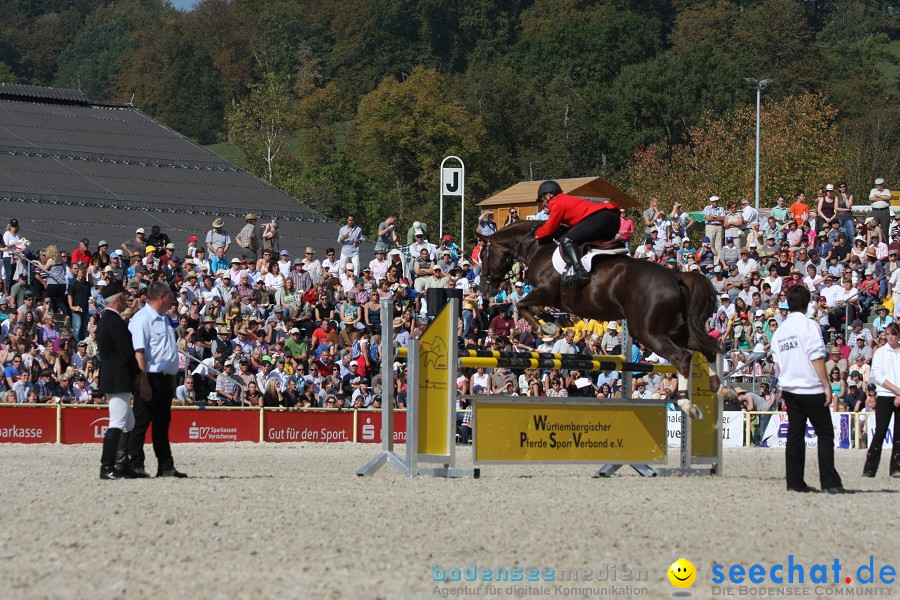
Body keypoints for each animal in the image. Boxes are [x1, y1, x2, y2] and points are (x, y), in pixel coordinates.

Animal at [478, 220, 724, 404]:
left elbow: (522, 305)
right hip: (676, 330)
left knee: (683, 356)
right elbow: (536, 308)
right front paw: (556, 323)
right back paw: (720, 388)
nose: (485, 288)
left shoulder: (545, 291)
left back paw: (687, 403)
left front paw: (543, 327)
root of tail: (676, 276)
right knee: (708, 347)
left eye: (482, 256)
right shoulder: (549, 297)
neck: (538, 247)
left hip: (648, 332)